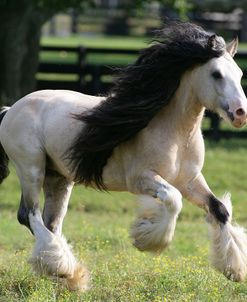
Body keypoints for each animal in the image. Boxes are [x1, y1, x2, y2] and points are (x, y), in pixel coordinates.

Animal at [0, 21, 247, 290]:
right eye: (216, 74)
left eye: (239, 74)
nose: (240, 113)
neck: (175, 134)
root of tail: (10, 109)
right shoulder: (141, 179)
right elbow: (173, 200)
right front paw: (146, 239)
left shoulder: (190, 180)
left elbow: (219, 209)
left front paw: (235, 270)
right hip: (31, 168)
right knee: (29, 214)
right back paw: (64, 269)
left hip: (59, 177)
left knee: (51, 222)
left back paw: (69, 275)